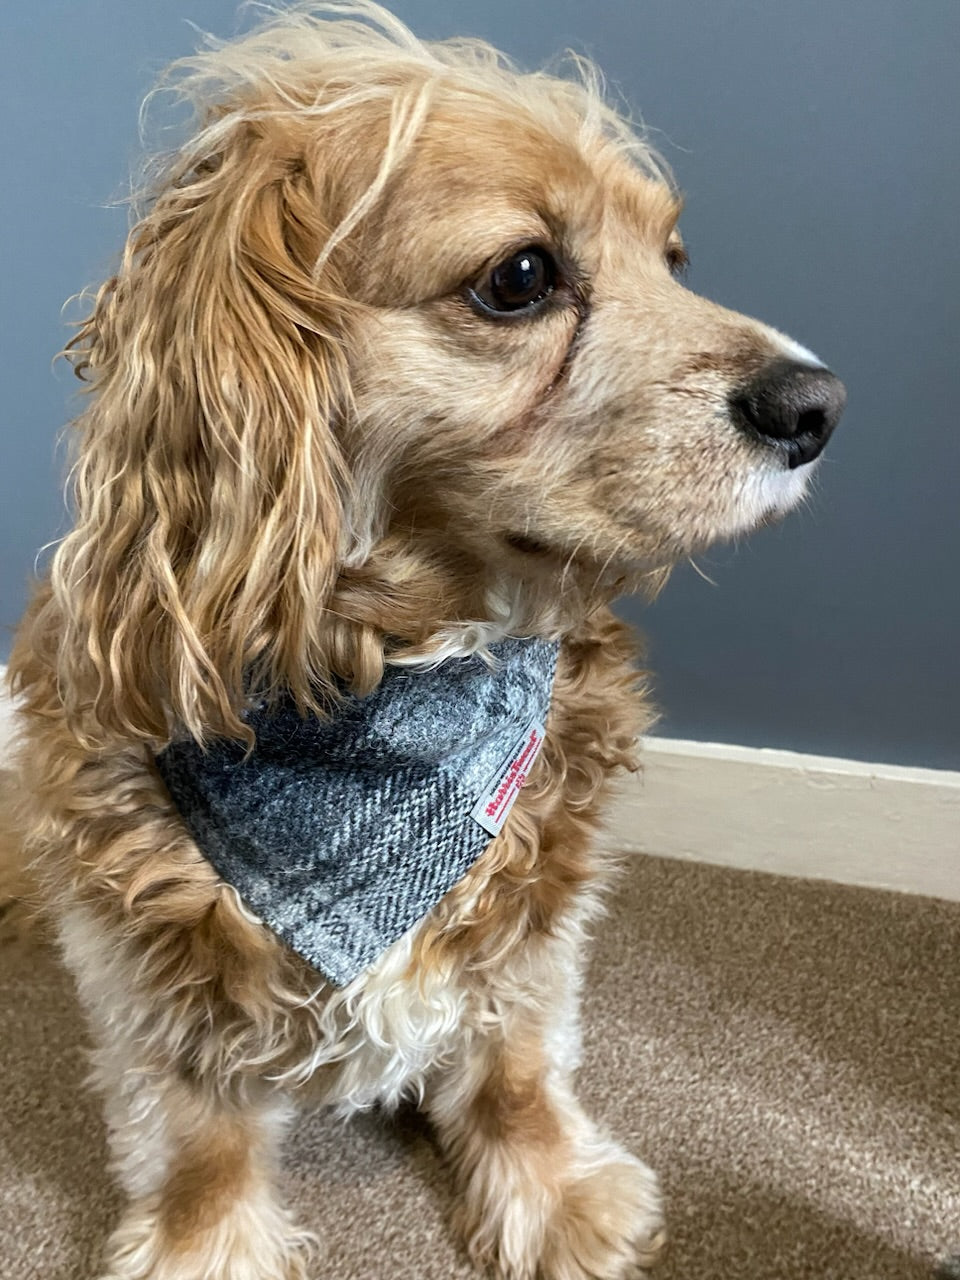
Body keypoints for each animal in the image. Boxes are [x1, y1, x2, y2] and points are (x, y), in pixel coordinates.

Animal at [3, 5, 844, 1274]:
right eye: (522, 276)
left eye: (673, 259)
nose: (819, 406)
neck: (400, 676)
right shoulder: (147, 955)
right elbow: (198, 1136)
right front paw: (207, 1246)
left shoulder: (537, 917)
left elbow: (514, 1065)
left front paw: (552, 1193)